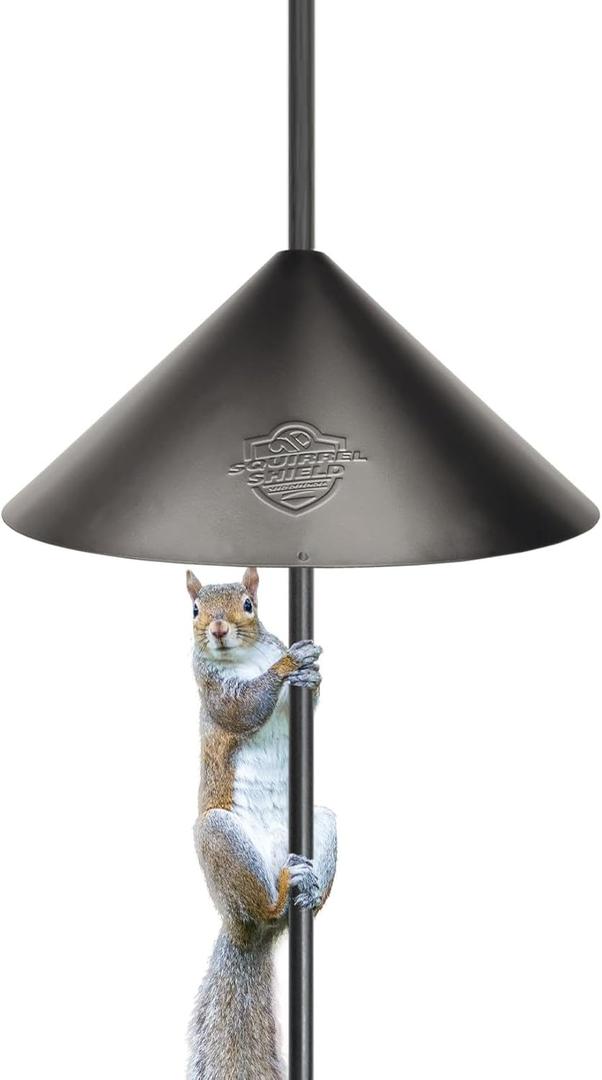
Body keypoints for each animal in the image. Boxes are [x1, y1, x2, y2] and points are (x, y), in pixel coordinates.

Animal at [186, 566, 337, 1080]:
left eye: (249, 604)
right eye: (194, 609)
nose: (217, 629)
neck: (245, 658)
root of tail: (244, 930)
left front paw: (311, 670)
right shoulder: (212, 690)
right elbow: (244, 707)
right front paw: (290, 664)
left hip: (320, 824)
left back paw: (310, 890)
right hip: (221, 839)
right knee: (266, 908)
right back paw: (283, 888)